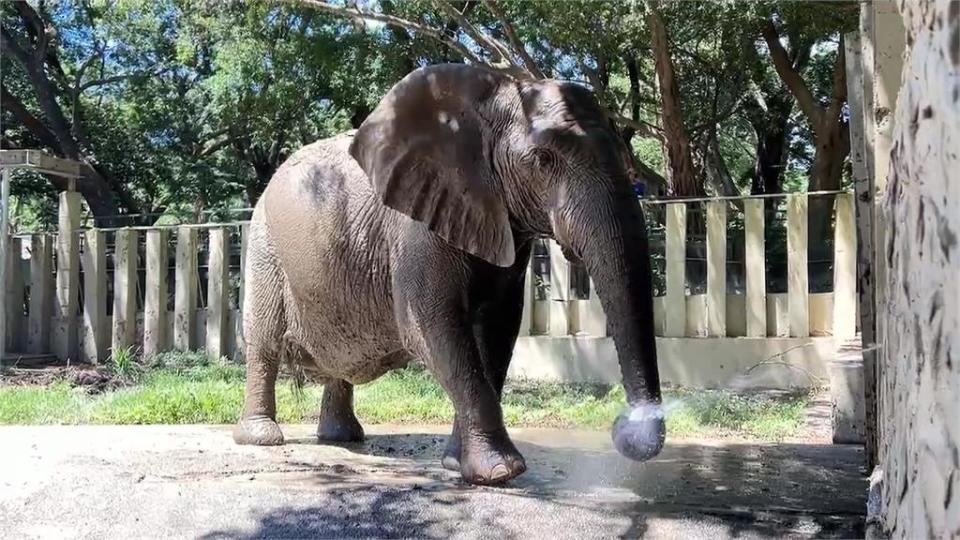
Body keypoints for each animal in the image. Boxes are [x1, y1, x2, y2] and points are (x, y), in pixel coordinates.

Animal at [236, 62, 664, 486]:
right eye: (542, 161)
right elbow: (431, 325)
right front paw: (500, 472)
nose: (624, 429)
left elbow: (497, 331)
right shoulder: (416, 225)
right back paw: (263, 437)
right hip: (263, 246)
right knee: (263, 341)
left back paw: (342, 437)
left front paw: (458, 465)